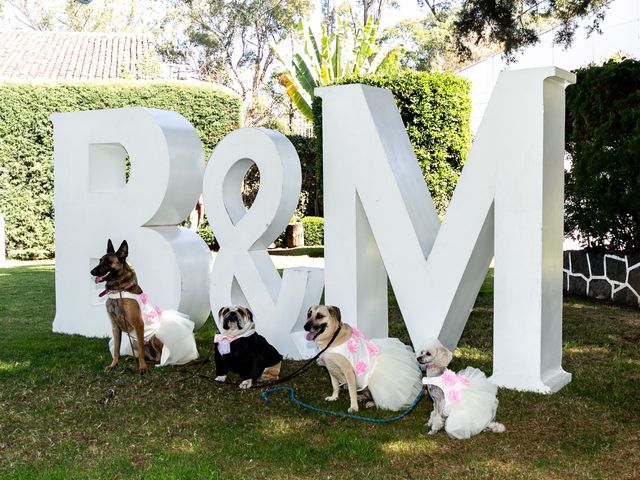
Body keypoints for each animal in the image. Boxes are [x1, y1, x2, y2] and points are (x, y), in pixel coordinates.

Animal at [91, 239, 164, 372]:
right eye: (100, 260)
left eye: (109, 262)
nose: (92, 271)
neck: (119, 290)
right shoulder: (115, 327)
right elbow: (116, 349)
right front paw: (113, 365)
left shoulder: (139, 324)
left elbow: (141, 350)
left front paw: (142, 367)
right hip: (134, 342)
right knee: (151, 358)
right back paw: (133, 358)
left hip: (153, 338)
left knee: (159, 358)